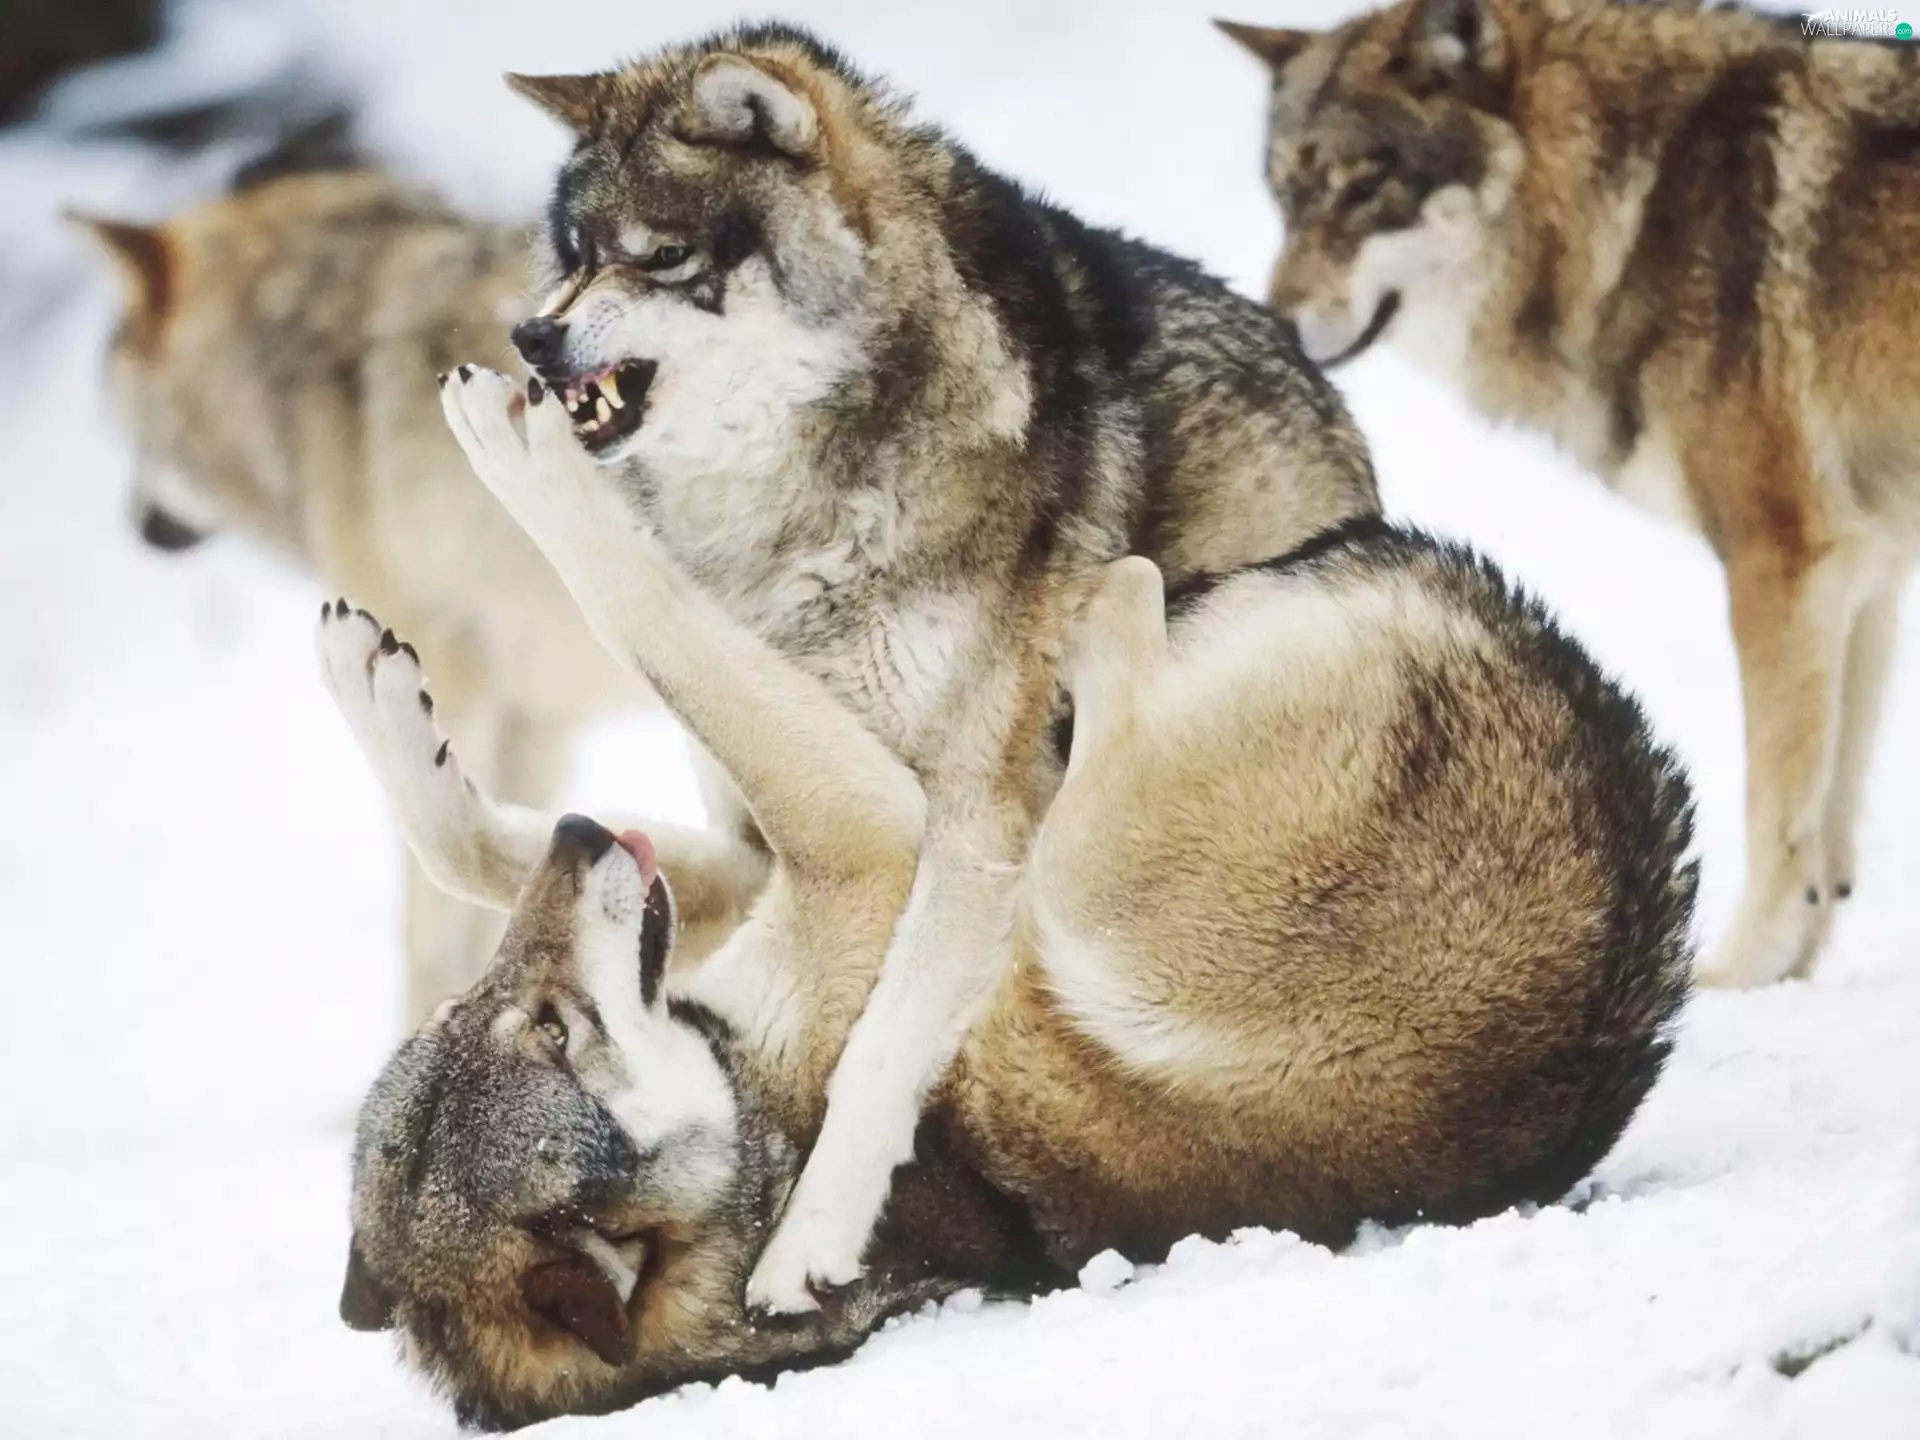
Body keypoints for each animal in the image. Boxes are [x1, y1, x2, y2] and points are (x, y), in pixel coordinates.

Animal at [316, 501, 1696, 1428]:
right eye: (552, 1030)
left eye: (506, 1009)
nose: (580, 832)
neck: (755, 1120)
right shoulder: (877, 840)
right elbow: (650, 615)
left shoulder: (820, 868)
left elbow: (470, 846)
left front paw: (380, 694)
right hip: (1082, 885)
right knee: (1119, 634)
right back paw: (1091, 624)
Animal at [452, 20, 1379, 1317]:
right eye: (573, 256)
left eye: (661, 256)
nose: (532, 337)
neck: (788, 511)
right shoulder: (758, 819)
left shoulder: (974, 826)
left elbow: (877, 1043)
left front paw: (805, 1245)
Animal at [1218, 0, 1920, 988]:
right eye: (1285, 197)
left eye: (1367, 190)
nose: (1273, 322)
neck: (1633, 202)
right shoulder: (1867, 572)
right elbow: (1829, 829)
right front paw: (1792, 981)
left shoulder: (1781, 565)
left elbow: (1779, 816)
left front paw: (1736, 979)